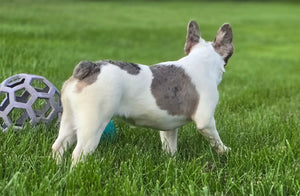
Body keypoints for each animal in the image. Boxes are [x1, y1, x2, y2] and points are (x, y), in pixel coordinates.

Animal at [52, 20, 234, 165]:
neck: (201, 60)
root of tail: (91, 68)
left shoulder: (168, 127)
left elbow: (170, 145)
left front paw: (172, 162)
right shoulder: (206, 121)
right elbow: (215, 139)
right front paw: (226, 151)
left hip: (70, 118)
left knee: (59, 145)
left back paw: (58, 170)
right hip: (94, 123)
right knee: (79, 154)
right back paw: (76, 173)